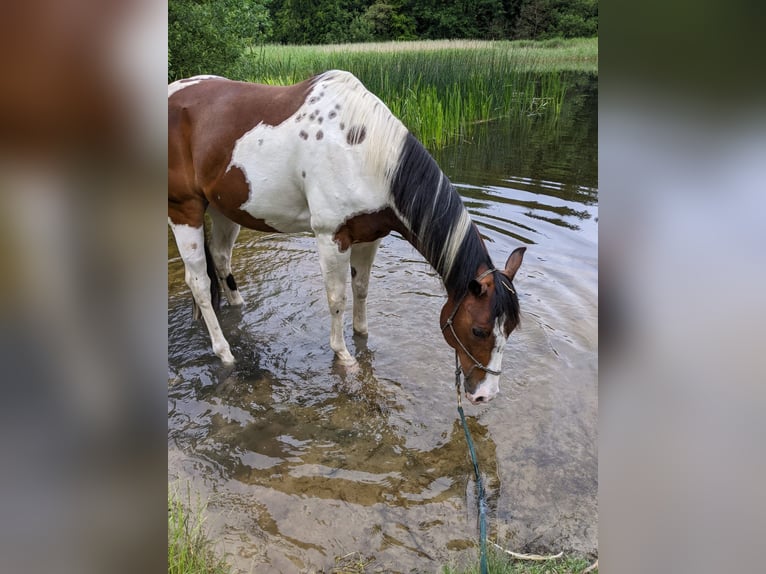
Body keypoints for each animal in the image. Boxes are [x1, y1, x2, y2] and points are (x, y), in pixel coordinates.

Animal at [168, 70, 525, 404]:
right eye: (478, 330)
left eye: (510, 329)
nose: (486, 395)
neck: (365, 153)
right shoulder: (331, 237)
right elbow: (337, 298)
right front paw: (344, 355)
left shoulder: (369, 237)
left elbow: (361, 289)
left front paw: (363, 335)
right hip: (184, 210)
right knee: (199, 283)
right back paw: (224, 352)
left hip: (224, 210)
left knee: (221, 259)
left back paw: (237, 307)